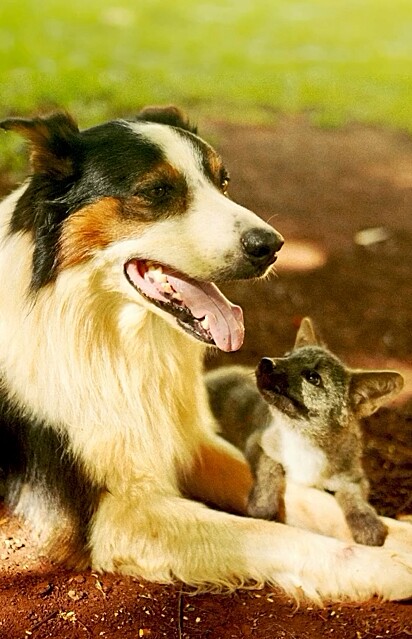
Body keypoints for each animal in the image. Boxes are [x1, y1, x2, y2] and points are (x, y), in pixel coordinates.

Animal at [0, 107, 412, 604]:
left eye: (224, 181)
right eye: (157, 191)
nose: (272, 246)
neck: (111, 336)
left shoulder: (191, 441)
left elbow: (308, 500)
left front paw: (396, 536)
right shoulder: (112, 514)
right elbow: (267, 533)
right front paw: (383, 565)